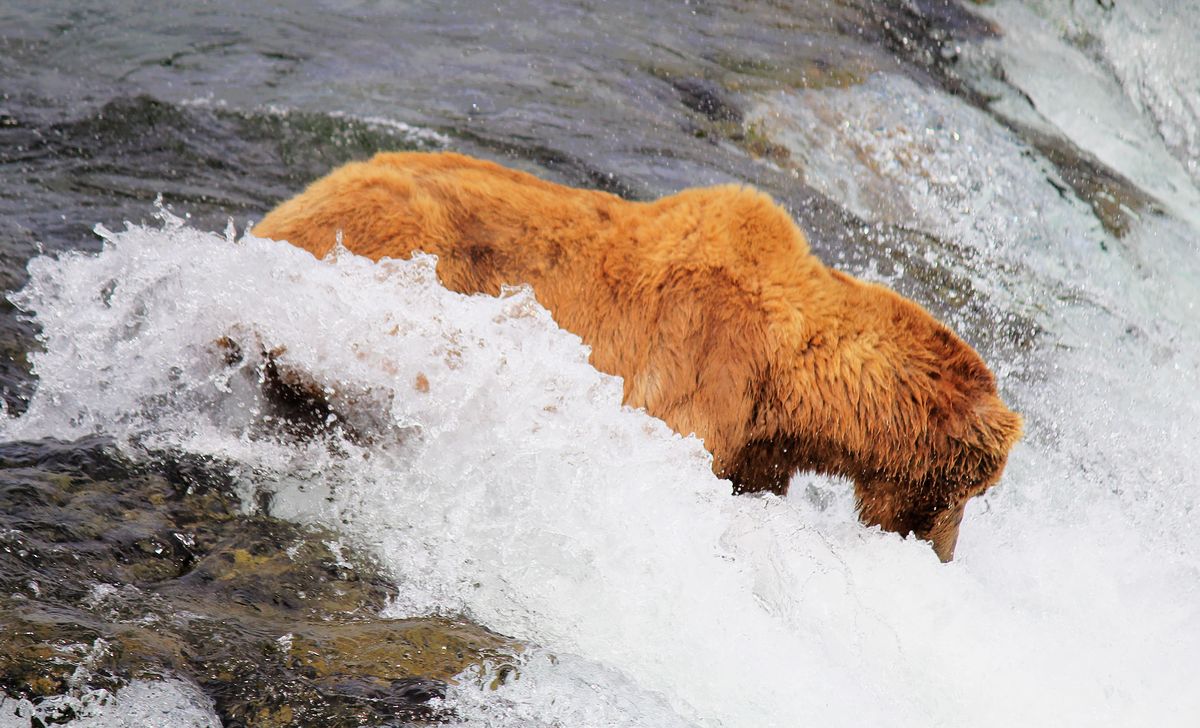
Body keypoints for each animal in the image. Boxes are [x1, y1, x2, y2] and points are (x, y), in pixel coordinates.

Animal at [255, 151, 1022, 561]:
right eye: (971, 492)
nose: (941, 555)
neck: (793, 379)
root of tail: (271, 220)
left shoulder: (758, 444)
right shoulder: (701, 363)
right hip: (398, 250)